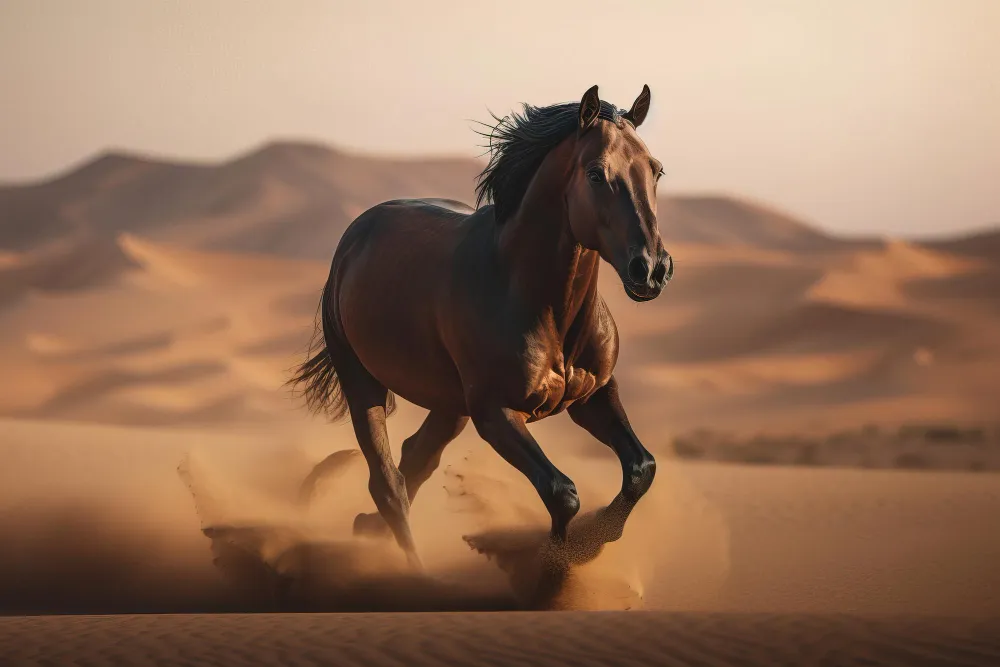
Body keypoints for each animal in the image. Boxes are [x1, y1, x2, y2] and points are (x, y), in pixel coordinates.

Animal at [292, 86, 676, 572]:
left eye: (656, 169)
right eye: (595, 174)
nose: (652, 269)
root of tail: (356, 233)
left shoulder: (594, 396)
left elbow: (641, 469)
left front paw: (595, 541)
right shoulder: (496, 413)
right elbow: (562, 493)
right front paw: (558, 567)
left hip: (450, 404)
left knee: (414, 459)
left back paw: (366, 529)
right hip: (362, 380)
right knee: (388, 483)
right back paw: (413, 573)